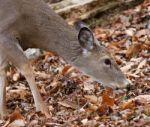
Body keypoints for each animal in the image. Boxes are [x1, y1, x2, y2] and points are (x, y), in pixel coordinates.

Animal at [0, 0, 131, 118]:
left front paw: (4, 113)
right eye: (107, 61)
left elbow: (3, 70)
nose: (127, 84)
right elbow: (26, 68)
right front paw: (43, 110)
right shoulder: (5, 34)